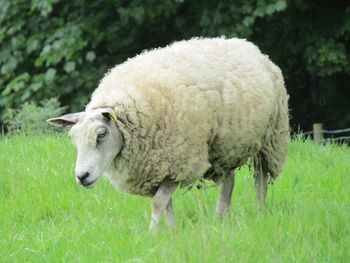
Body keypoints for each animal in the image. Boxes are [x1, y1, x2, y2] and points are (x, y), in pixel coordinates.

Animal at [48, 37, 290, 231]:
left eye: (101, 135)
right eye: (73, 139)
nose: (82, 177)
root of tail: (248, 45)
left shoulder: (180, 162)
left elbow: (158, 203)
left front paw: (152, 233)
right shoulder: (160, 167)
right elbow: (166, 204)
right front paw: (172, 231)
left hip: (270, 138)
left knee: (261, 178)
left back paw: (259, 211)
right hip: (226, 145)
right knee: (229, 181)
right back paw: (220, 217)